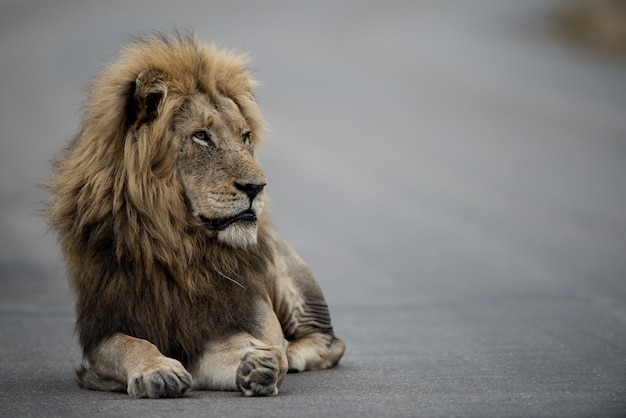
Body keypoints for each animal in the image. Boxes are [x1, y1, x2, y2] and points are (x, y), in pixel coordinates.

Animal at [46, 33, 344, 398]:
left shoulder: (236, 321)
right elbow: (127, 345)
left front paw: (258, 364)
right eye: (201, 136)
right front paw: (158, 371)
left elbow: (247, 352)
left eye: (245, 136)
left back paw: (293, 351)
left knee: (329, 341)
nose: (257, 187)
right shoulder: (104, 329)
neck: (181, 246)